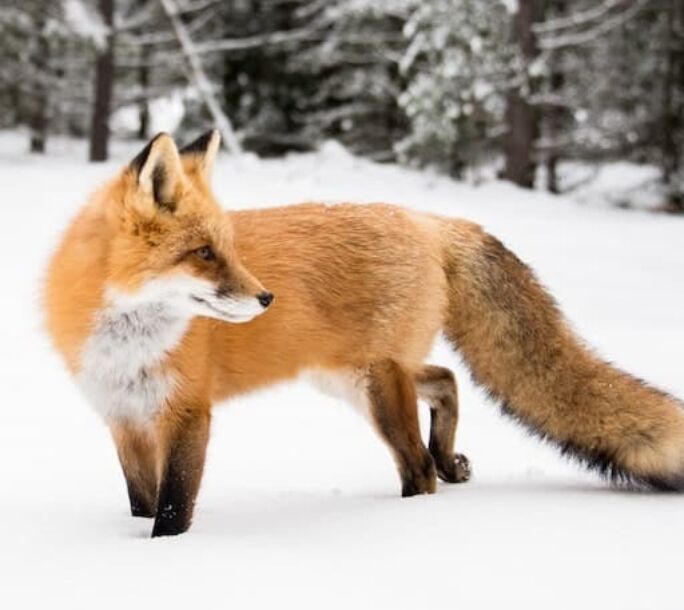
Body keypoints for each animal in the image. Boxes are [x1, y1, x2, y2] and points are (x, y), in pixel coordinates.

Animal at [44, 129, 684, 537]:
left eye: (228, 248)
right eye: (204, 253)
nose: (266, 298)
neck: (128, 345)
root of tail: (430, 221)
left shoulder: (187, 414)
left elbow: (173, 510)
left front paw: (163, 557)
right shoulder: (124, 418)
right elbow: (141, 503)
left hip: (376, 386)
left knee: (418, 465)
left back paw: (412, 509)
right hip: (351, 378)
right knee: (447, 379)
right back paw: (450, 460)